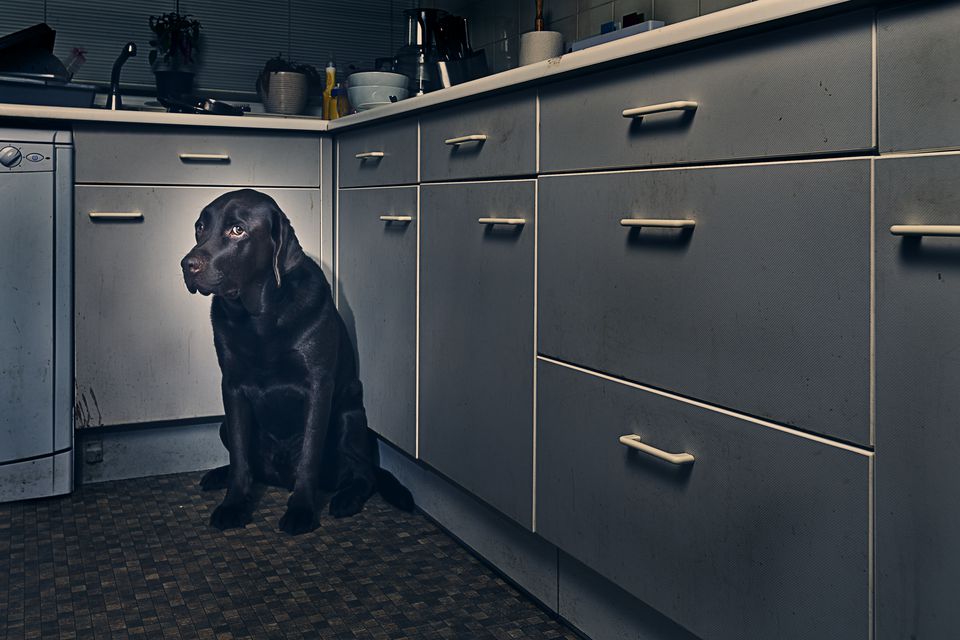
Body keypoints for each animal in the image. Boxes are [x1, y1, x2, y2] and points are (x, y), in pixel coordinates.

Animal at [180, 190, 412, 536]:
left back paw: (346, 499)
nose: (186, 265)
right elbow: (240, 458)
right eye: (200, 227)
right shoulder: (231, 388)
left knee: (365, 474)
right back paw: (219, 475)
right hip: (223, 424)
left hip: (349, 419)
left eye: (238, 230)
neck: (259, 318)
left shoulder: (318, 386)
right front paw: (233, 505)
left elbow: (309, 455)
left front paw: (302, 510)